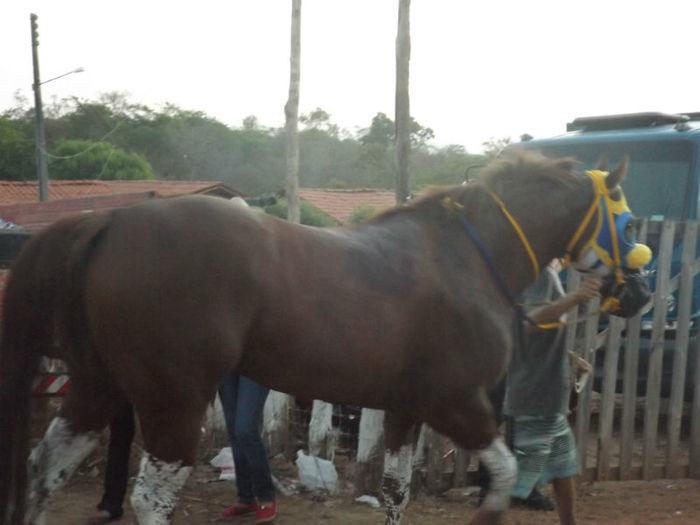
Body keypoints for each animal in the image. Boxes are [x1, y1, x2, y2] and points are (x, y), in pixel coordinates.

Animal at [0, 150, 651, 525]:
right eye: (626, 225)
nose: (640, 294)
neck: (469, 256)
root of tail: (110, 219)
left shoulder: (407, 410)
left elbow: (395, 492)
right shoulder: (458, 404)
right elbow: (505, 477)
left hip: (97, 388)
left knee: (42, 471)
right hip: (172, 401)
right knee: (150, 499)